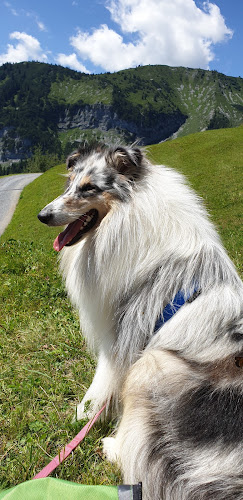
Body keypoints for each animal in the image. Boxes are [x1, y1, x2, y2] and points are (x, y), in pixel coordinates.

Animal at [38, 145, 243, 500]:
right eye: (71, 183)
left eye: (89, 188)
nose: (43, 215)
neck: (127, 215)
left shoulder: (121, 335)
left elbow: (100, 384)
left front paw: (81, 418)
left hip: (151, 365)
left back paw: (111, 446)